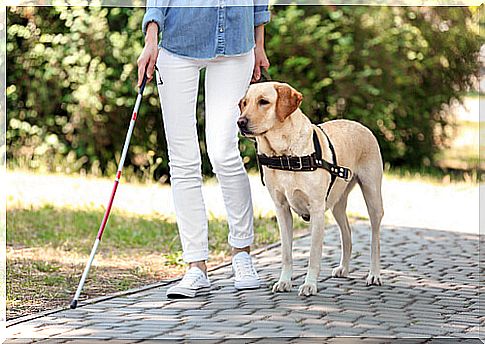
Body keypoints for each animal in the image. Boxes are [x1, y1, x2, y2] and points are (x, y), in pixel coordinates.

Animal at [237, 82, 382, 296]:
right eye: (244, 103)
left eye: (264, 102)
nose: (240, 122)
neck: (284, 155)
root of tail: (360, 125)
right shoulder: (281, 209)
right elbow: (286, 253)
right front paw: (284, 281)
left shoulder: (316, 210)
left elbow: (314, 254)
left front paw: (309, 284)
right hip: (337, 205)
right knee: (347, 233)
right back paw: (344, 268)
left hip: (372, 197)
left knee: (375, 239)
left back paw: (374, 274)